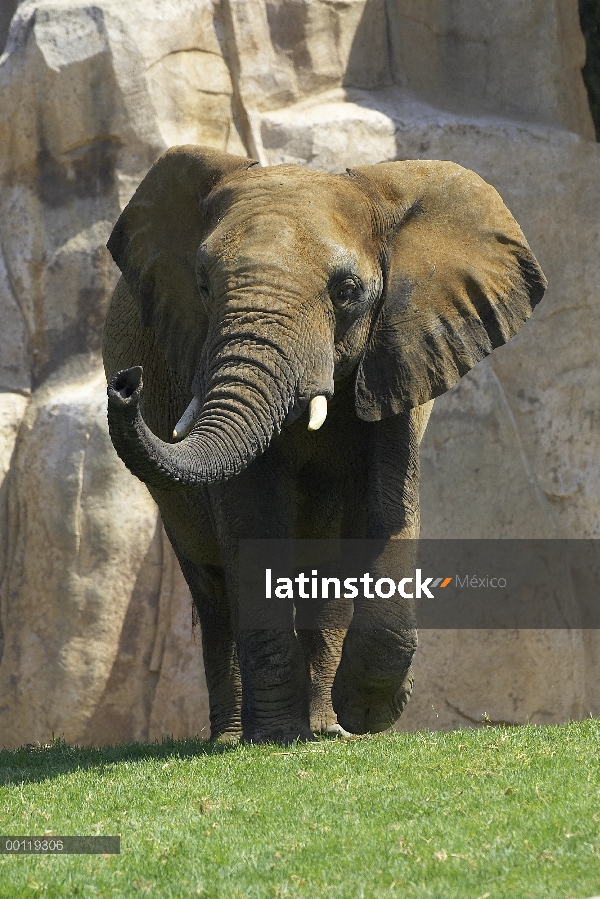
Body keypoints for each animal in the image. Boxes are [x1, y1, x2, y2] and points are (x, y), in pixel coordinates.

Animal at [102, 144, 544, 740]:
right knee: (212, 584)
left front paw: (365, 713)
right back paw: (236, 736)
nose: (127, 384)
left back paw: (326, 728)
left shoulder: (401, 350)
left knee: (326, 571)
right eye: (202, 286)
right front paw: (276, 737)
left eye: (347, 292)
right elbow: (251, 522)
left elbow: (390, 507)